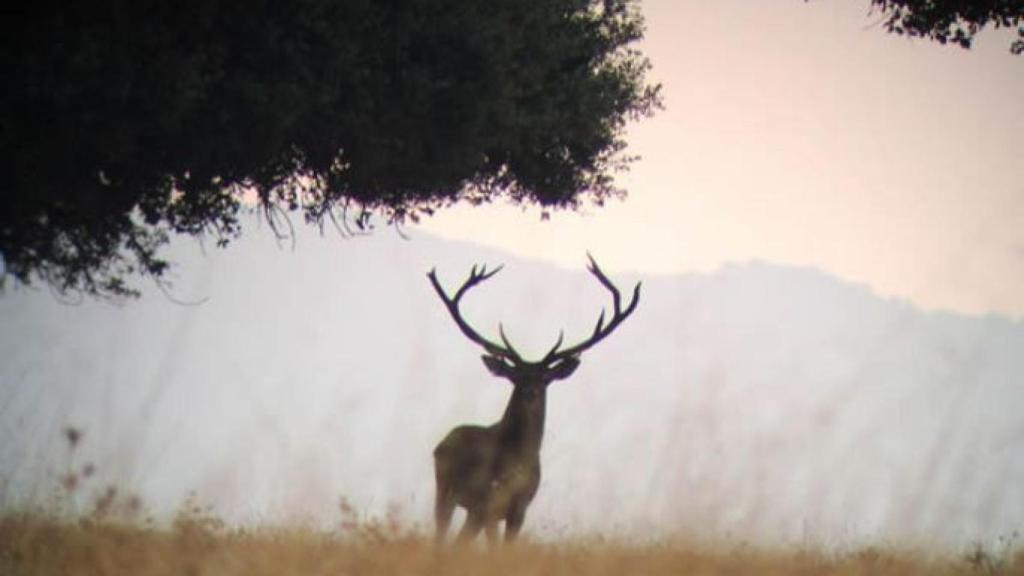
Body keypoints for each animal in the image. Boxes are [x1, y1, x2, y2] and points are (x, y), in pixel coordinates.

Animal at [425, 253, 638, 541]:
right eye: (515, 376)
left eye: (545, 378)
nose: (530, 391)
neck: (517, 462)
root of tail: (443, 441)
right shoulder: (488, 502)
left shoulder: (520, 509)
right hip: (447, 491)